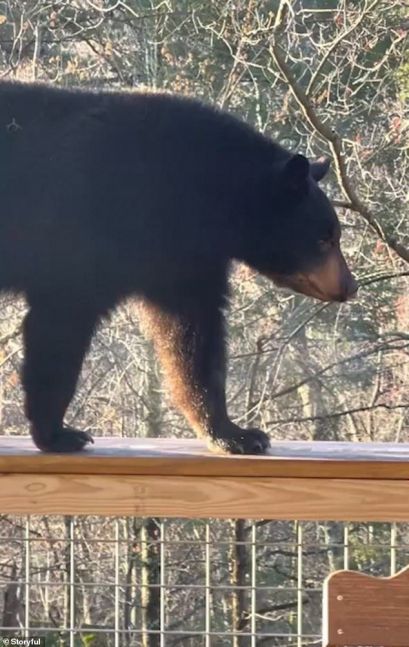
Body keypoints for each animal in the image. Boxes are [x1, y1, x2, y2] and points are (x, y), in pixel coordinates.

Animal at [0, 81, 356, 456]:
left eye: (335, 236)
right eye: (325, 239)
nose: (350, 285)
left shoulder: (182, 257)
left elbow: (193, 334)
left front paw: (235, 433)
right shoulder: (96, 229)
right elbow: (62, 319)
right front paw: (58, 434)